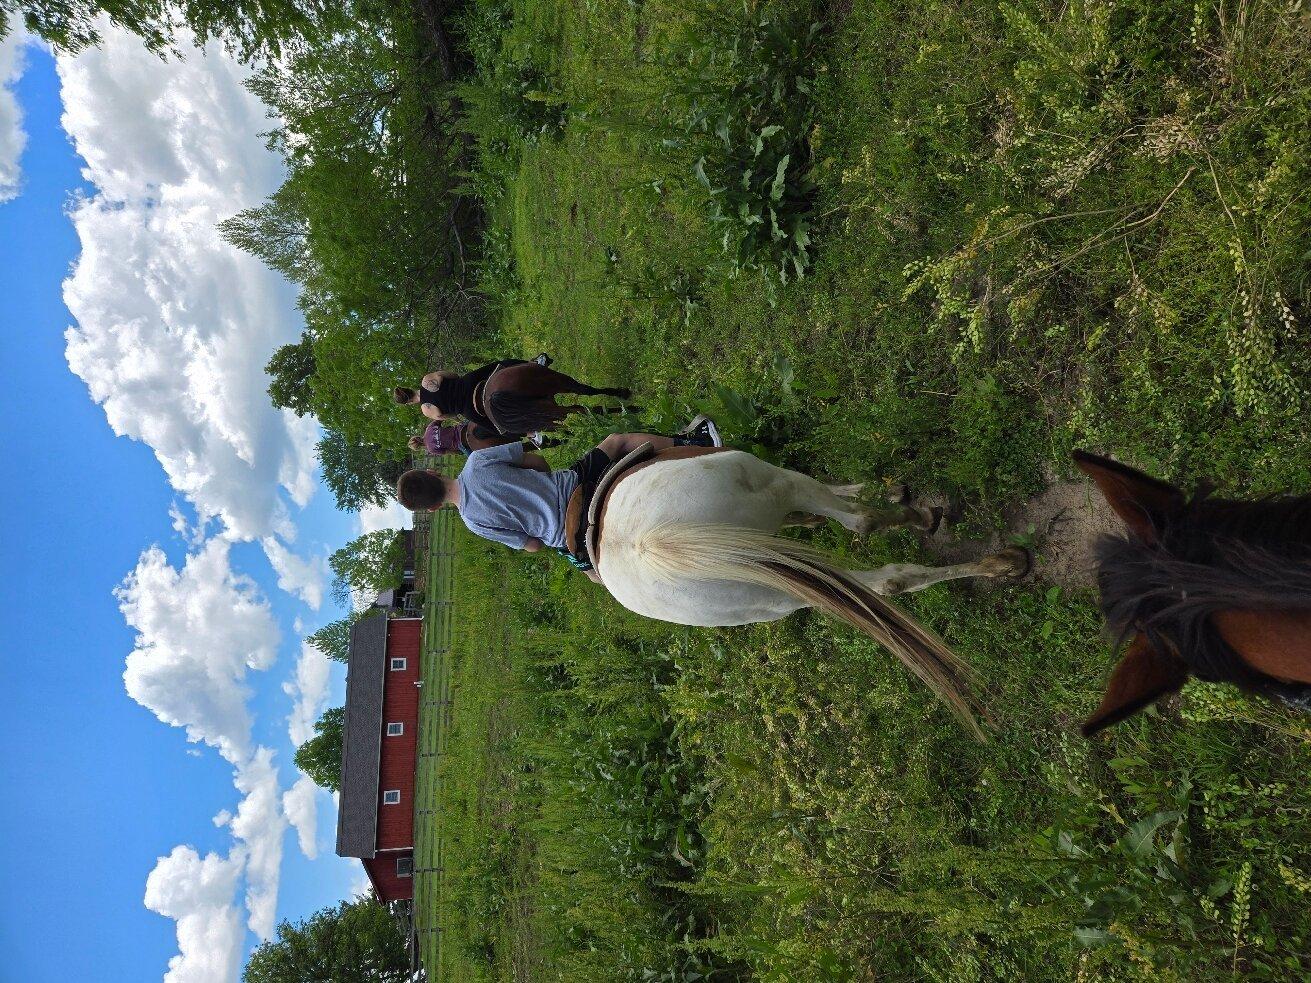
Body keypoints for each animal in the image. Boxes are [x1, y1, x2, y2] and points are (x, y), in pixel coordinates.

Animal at [589, 450, 1027, 733]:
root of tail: (650, 544)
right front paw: (890, 495)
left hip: (776, 596)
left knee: (885, 580)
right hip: (782, 484)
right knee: (863, 525)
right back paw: (993, 555)